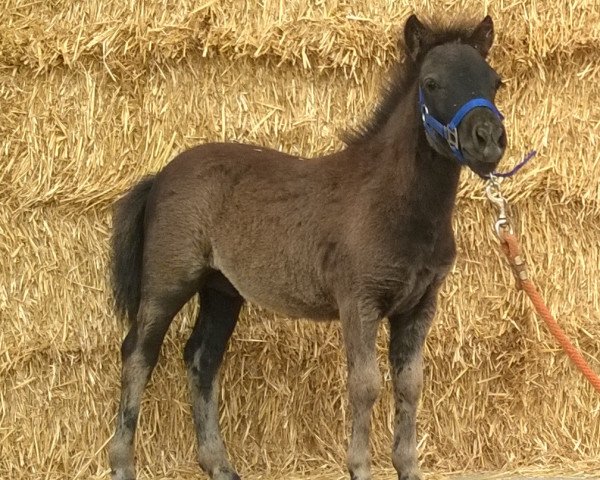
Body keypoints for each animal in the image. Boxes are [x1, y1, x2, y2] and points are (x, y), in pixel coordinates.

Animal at [109, 14, 506, 480]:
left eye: (494, 81)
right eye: (431, 83)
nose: (489, 140)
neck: (397, 204)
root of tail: (161, 175)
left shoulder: (419, 306)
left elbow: (410, 385)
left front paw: (408, 468)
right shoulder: (359, 300)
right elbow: (365, 385)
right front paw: (359, 468)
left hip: (221, 290)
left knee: (202, 359)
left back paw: (220, 465)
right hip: (168, 281)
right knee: (138, 353)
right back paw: (122, 464)